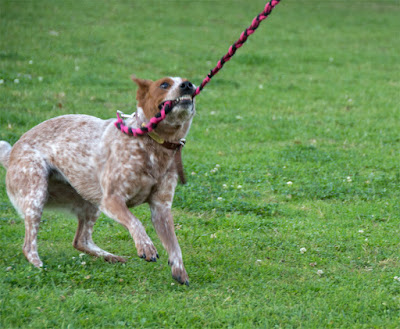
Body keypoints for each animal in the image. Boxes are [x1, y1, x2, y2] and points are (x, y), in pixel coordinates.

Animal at [0, 76, 197, 284]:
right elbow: (136, 222)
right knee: (29, 245)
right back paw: (39, 265)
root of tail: (11, 153)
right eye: (164, 84)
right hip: (36, 195)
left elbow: (174, 245)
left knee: (81, 240)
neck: (154, 146)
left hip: (90, 203)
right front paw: (146, 246)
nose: (188, 85)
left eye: (186, 81)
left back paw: (111, 257)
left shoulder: (161, 208)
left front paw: (179, 269)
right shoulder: (112, 199)